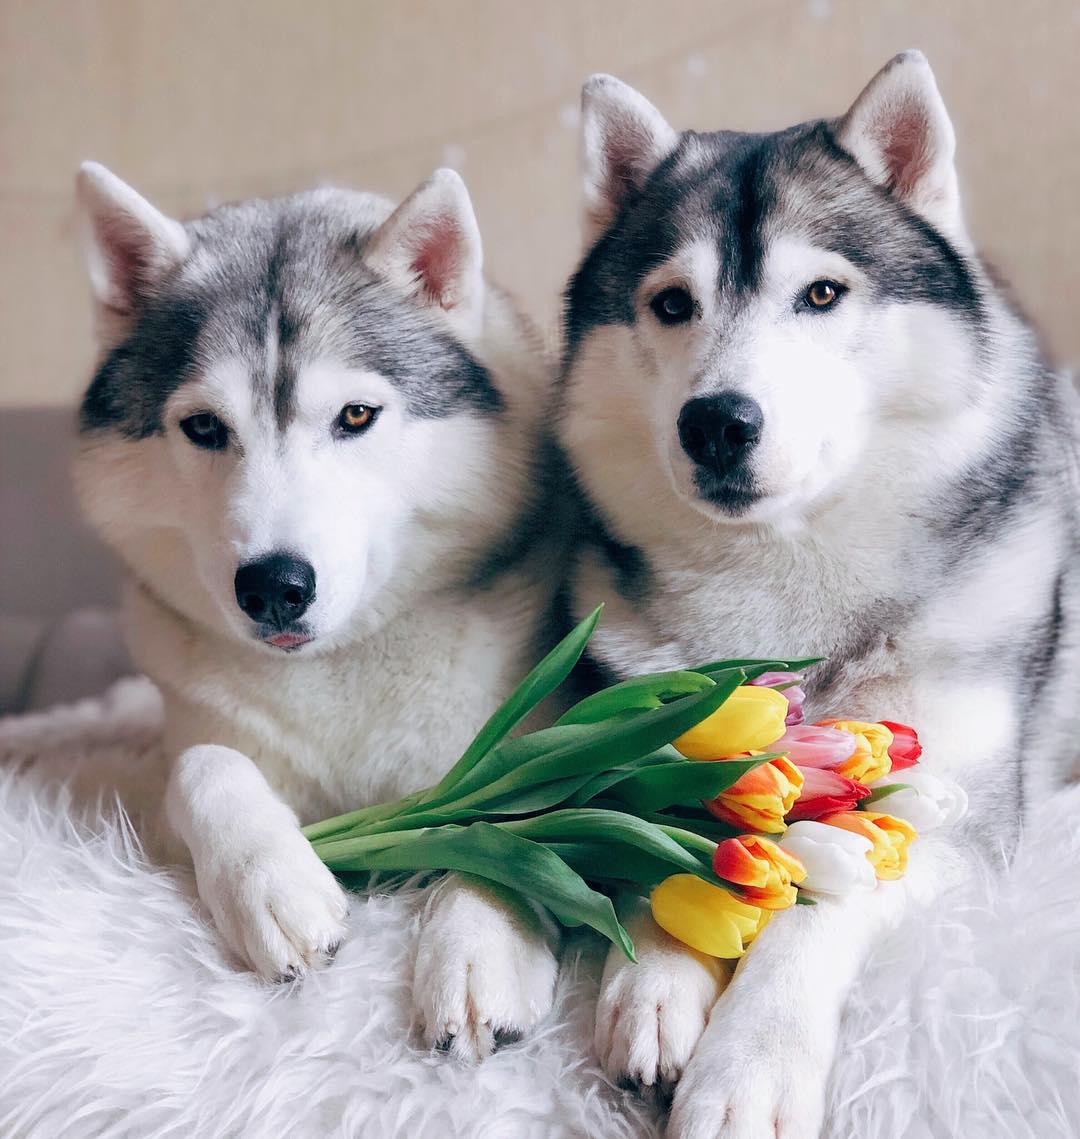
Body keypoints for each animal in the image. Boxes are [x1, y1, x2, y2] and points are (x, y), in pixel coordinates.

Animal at [74, 165, 565, 1061]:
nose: (273, 584)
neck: (339, 673)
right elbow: (203, 767)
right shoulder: (170, 775)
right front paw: (272, 880)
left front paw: (480, 939)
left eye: (356, 416)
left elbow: (517, 816)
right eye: (204, 427)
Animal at [560, 51, 1075, 1139]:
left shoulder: (959, 820)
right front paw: (657, 979)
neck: (786, 584)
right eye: (672, 303)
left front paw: (749, 1061)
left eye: (824, 293)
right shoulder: (646, 748)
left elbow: (828, 886)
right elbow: (655, 830)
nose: (716, 422)